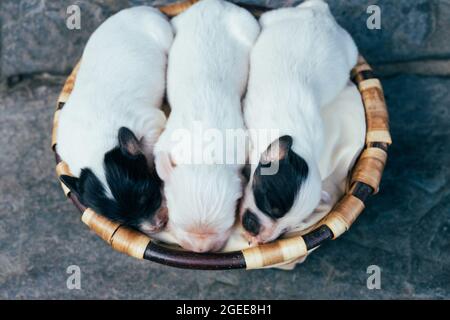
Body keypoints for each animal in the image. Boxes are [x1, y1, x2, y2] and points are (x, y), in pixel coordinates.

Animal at [57, 6, 173, 234]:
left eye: (148, 196)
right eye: (120, 219)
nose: (155, 226)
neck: (94, 145)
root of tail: (136, 9)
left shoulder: (150, 121)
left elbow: (148, 149)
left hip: (163, 32)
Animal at [155, 0, 260, 252]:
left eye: (226, 226)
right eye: (179, 223)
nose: (200, 251)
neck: (203, 154)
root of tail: (217, 4)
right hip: (180, 21)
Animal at [239, 0, 358, 244]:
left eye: (288, 227)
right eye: (269, 205)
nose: (262, 235)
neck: (296, 138)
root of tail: (321, 15)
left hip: (349, 50)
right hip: (274, 18)